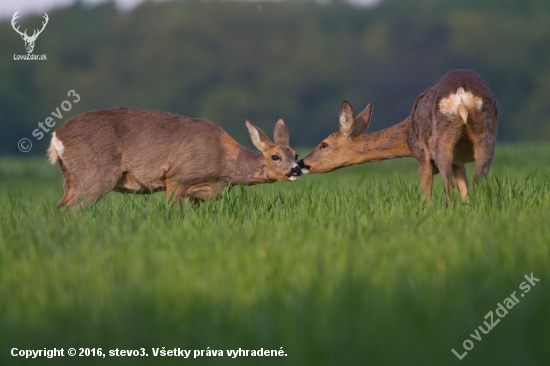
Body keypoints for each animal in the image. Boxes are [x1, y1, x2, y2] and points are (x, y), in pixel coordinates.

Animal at [48, 107, 304, 207]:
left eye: (295, 154)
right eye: (275, 156)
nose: (296, 169)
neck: (225, 163)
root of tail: (56, 137)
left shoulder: (204, 193)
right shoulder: (178, 177)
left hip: (70, 178)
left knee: (60, 208)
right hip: (96, 174)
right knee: (75, 208)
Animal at [300, 68, 502, 203]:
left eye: (323, 144)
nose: (301, 162)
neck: (406, 134)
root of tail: (461, 96)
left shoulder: (422, 156)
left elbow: (427, 196)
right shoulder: (458, 162)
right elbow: (465, 193)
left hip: (441, 141)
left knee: (448, 186)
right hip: (486, 135)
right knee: (478, 183)